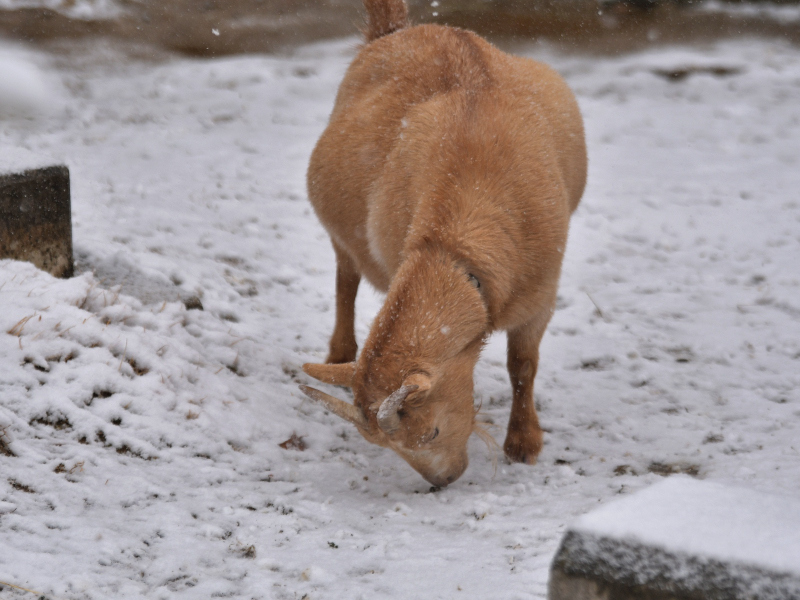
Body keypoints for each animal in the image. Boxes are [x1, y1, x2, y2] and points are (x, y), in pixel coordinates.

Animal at [300, 0, 588, 488]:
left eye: (432, 431)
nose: (443, 481)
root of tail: (393, 32)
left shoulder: (541, 295)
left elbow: (522, 364)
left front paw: (524, 444)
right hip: (344, 232)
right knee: (346, 276)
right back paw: (340, 352)